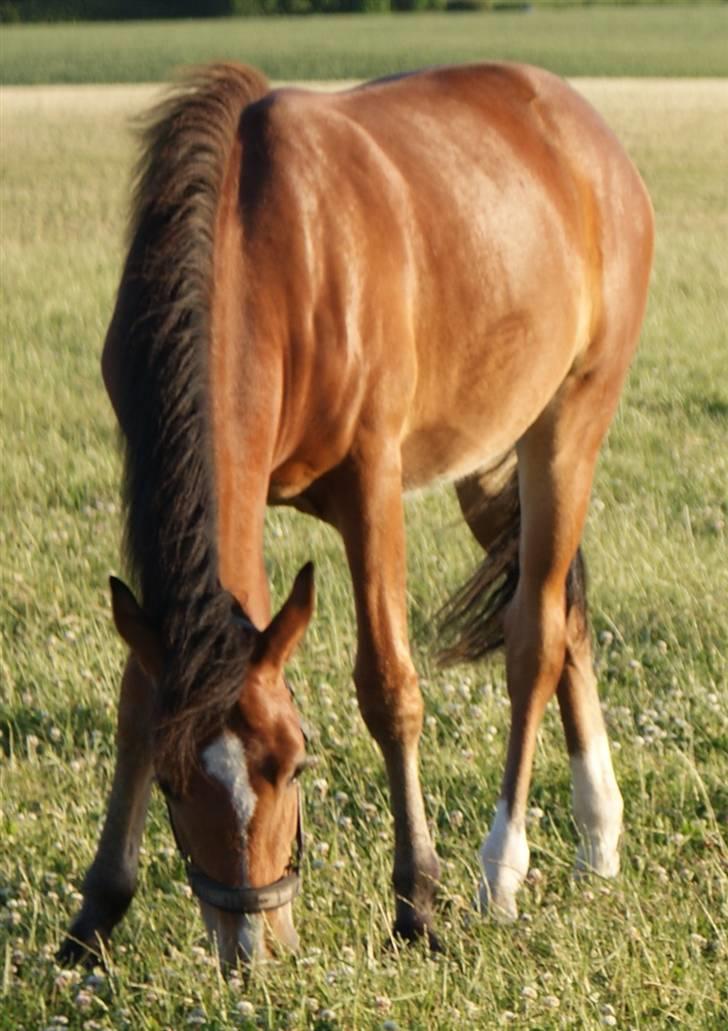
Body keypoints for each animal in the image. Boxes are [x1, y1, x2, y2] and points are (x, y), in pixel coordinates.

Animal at [59, 62, 651, 965]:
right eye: (171, 779)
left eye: (296, 764)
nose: (252, 943)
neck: (262, 249)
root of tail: (589, 136)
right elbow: (138, 697)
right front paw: (96, 912)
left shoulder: (372, 482)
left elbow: (389, 687)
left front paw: (417, 901)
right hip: (490, 456)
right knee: (565, 614)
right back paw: (599, 836)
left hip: (568, 426)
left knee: (536, 633)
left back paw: (503, 869)